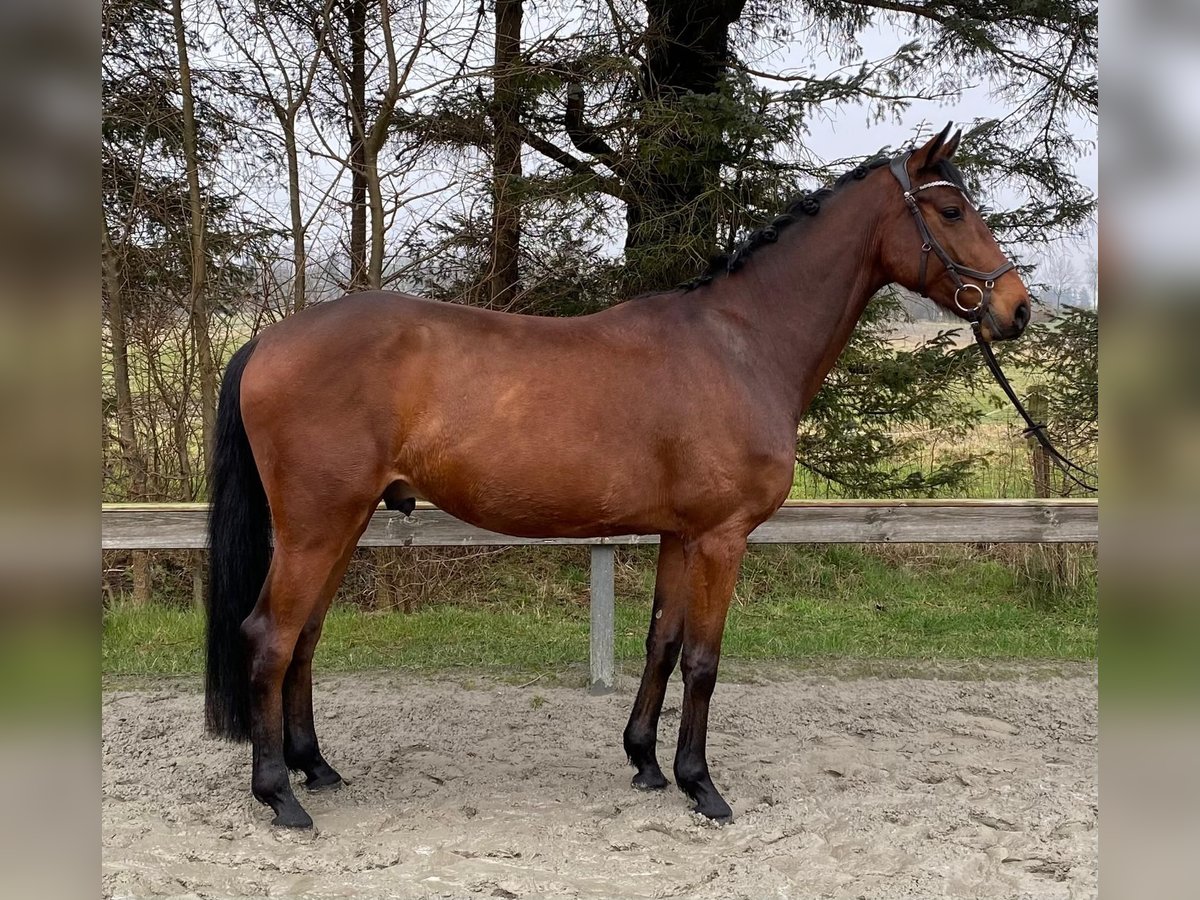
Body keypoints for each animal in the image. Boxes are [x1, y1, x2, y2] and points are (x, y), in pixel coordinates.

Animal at [206, 123, 1032, 830]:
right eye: (952, 210)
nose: (1017, 310)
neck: (742, 344)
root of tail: (268, 340)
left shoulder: (679, 535)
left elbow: (661, 641)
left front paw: (646, 763)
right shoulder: (722, 537)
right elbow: (703, 659)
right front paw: (702, 785)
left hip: (342, 524)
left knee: (306, 635)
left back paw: (317, 768)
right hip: (317, 525)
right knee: (271, 636)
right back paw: (280, 795)